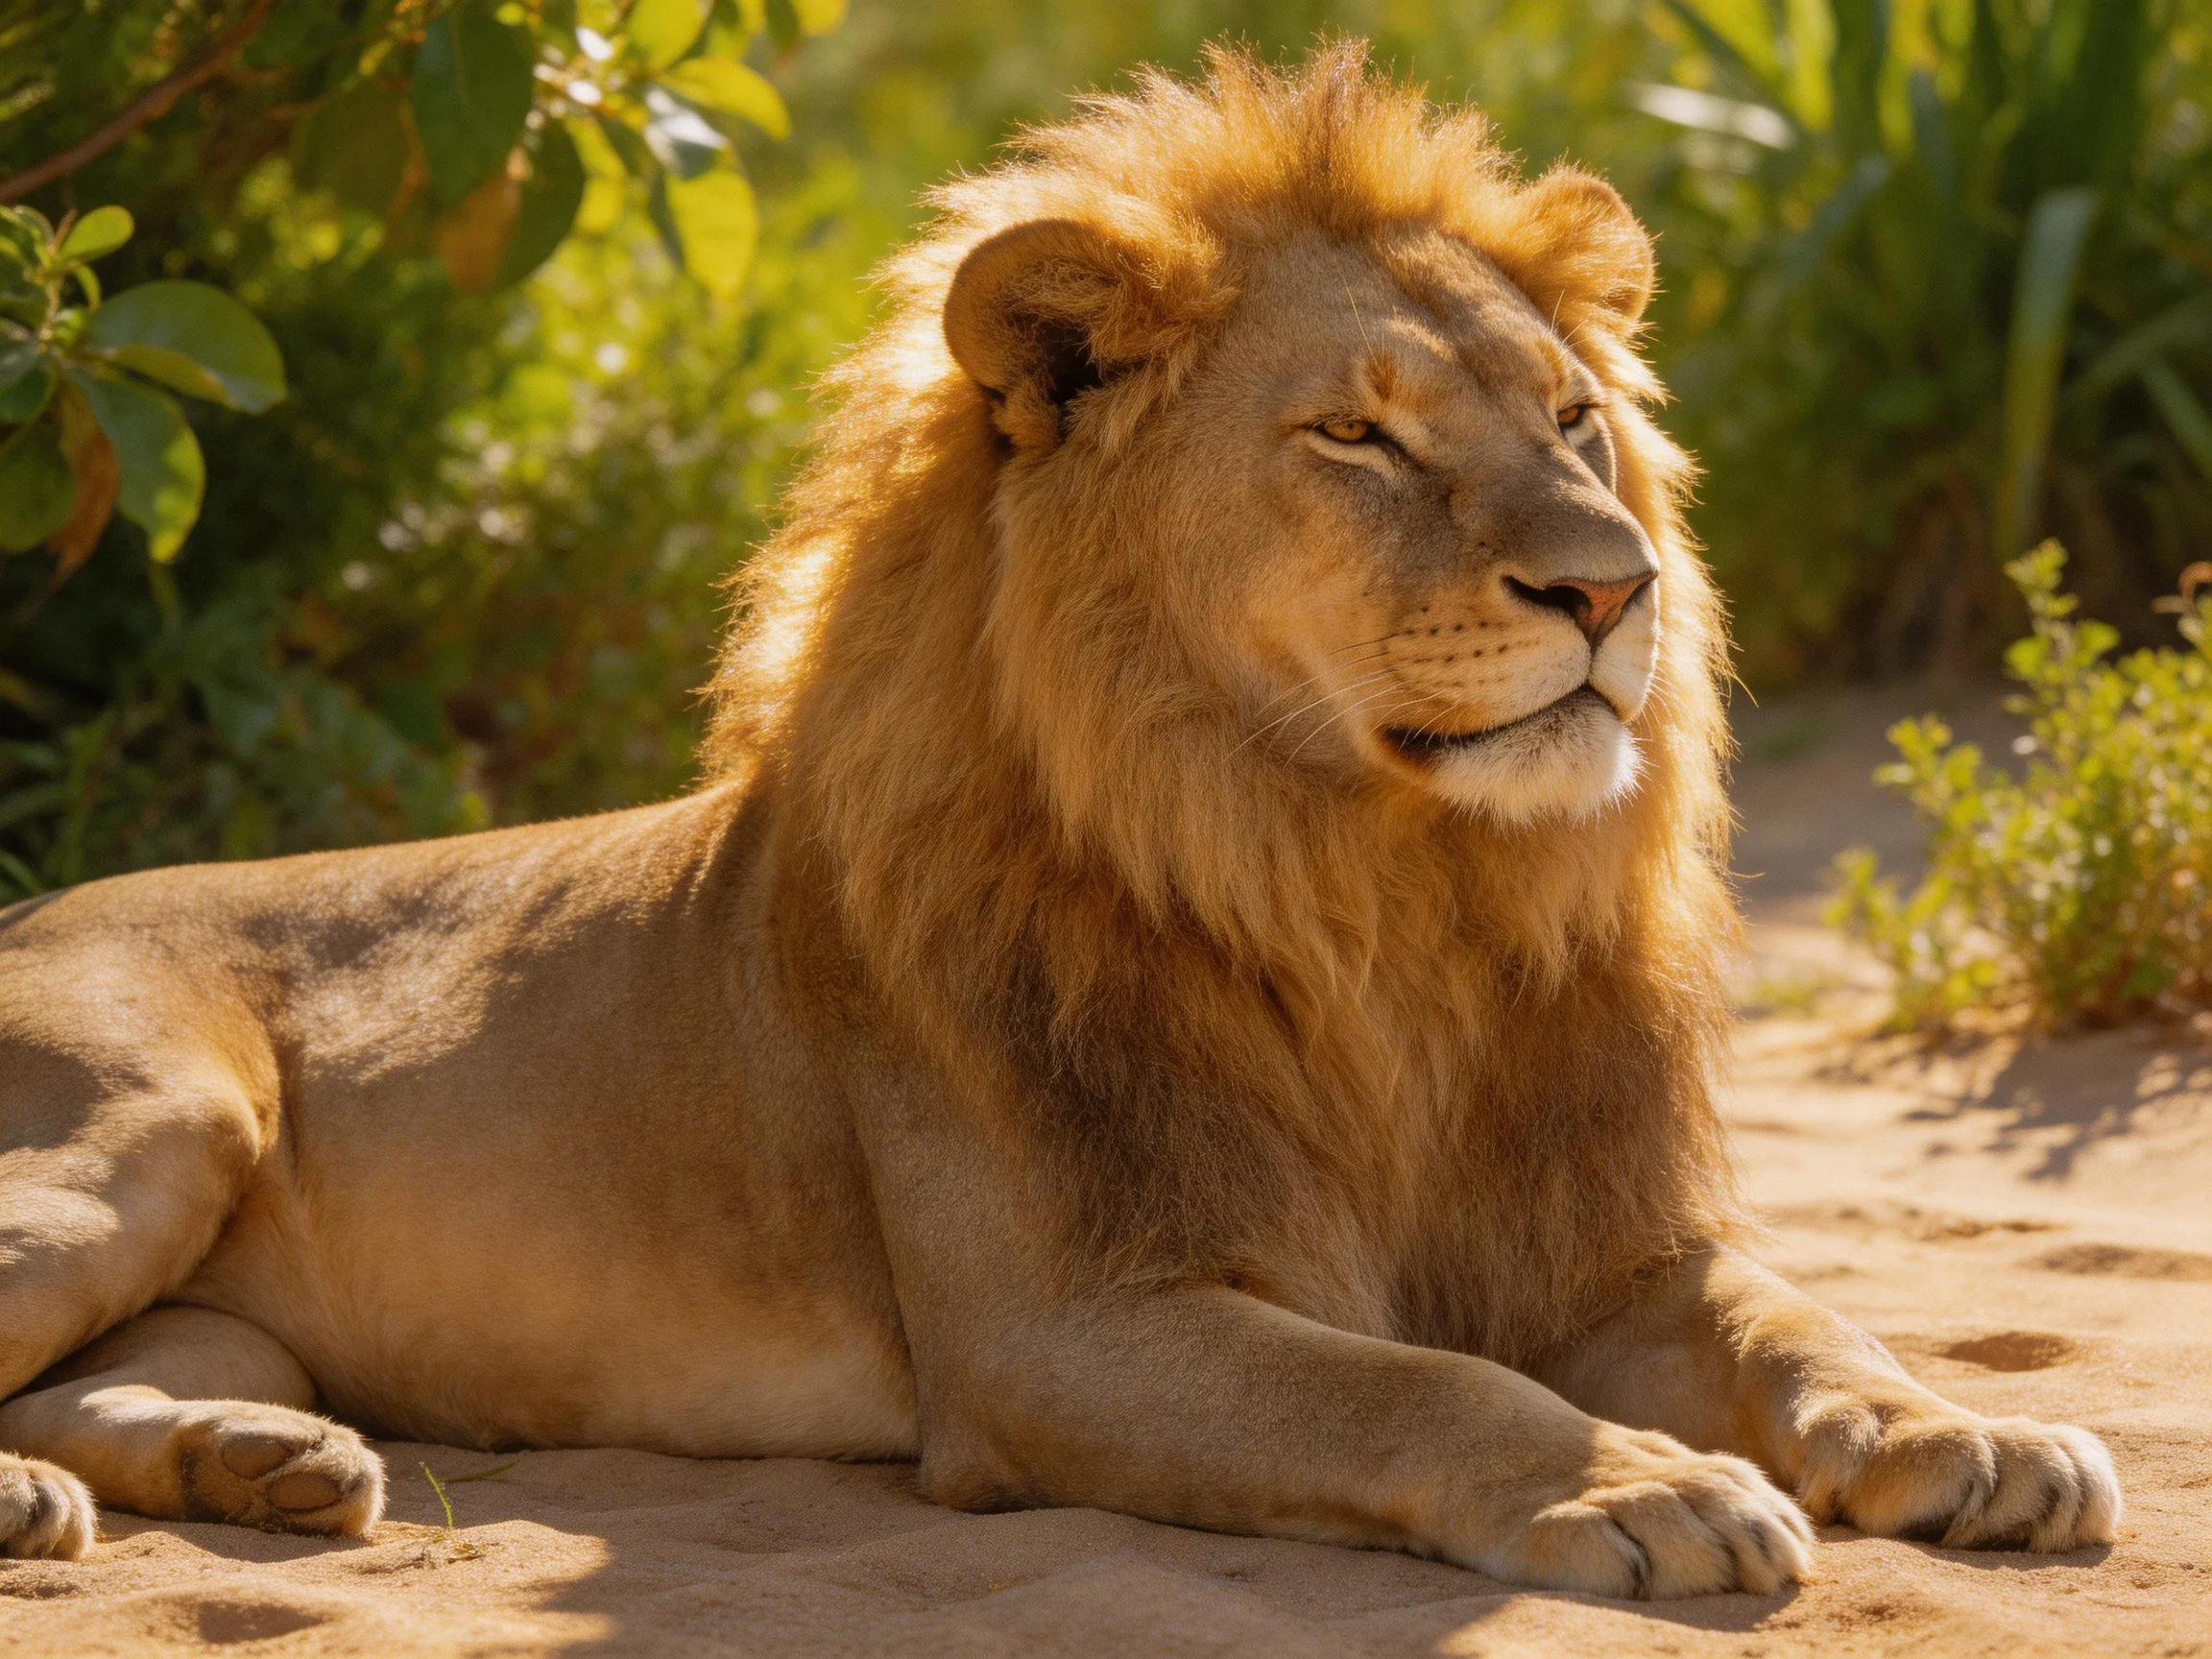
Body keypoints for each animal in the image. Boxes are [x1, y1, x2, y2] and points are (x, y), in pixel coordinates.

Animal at [0, 45, 2117, 1593]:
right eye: (1357, 434)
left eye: (1576, 420)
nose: (1613, 589)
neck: (1380, 902)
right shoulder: (1057, 1332)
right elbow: (1410, 1392)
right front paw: (1634, 1484)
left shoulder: (1608, 1246)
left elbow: (1804, 1325)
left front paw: (1976, 1437)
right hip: (147, 1127)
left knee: (115, 1381)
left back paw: (264, 1457)